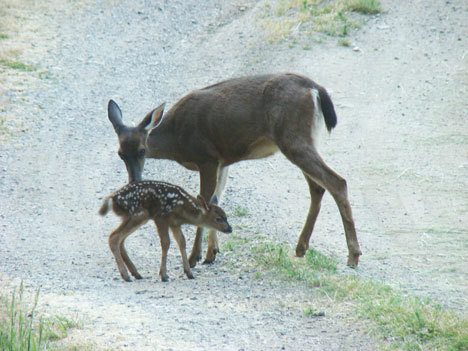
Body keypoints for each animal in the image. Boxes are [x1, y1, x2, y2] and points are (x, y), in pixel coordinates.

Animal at [109, 73, 362, 268]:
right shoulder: (222, 161)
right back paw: (301, 248)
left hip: (293, 139)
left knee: (337, 182)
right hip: (302, 140)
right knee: (318, 187)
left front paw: (194, 257)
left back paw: (353, 256)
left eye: (142, 150)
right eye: (120, 153)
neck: (177, 139)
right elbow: (215, 199)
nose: (134, 180)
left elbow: (203, 201)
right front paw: (212, 253)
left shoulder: (207, 157)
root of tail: (316, 90)